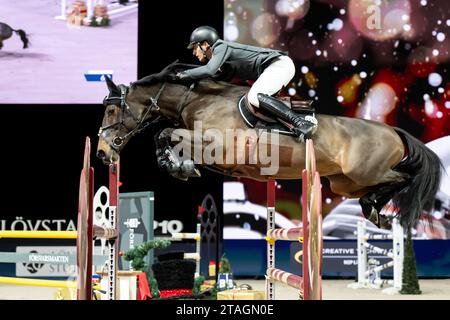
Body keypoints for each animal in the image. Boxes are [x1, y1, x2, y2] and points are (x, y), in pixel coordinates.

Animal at [96, 63, 442, 230]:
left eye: (112, 110)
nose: (101, 152)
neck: (197, 100)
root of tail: (394, 130)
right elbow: (166, 136)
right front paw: (180, 166)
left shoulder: (218, 145)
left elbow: (165, 133)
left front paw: (179, 167)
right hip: (345, 183)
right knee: (376, 189)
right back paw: (374, 211)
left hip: (367, 171)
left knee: (402, 178)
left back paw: (376, 210)